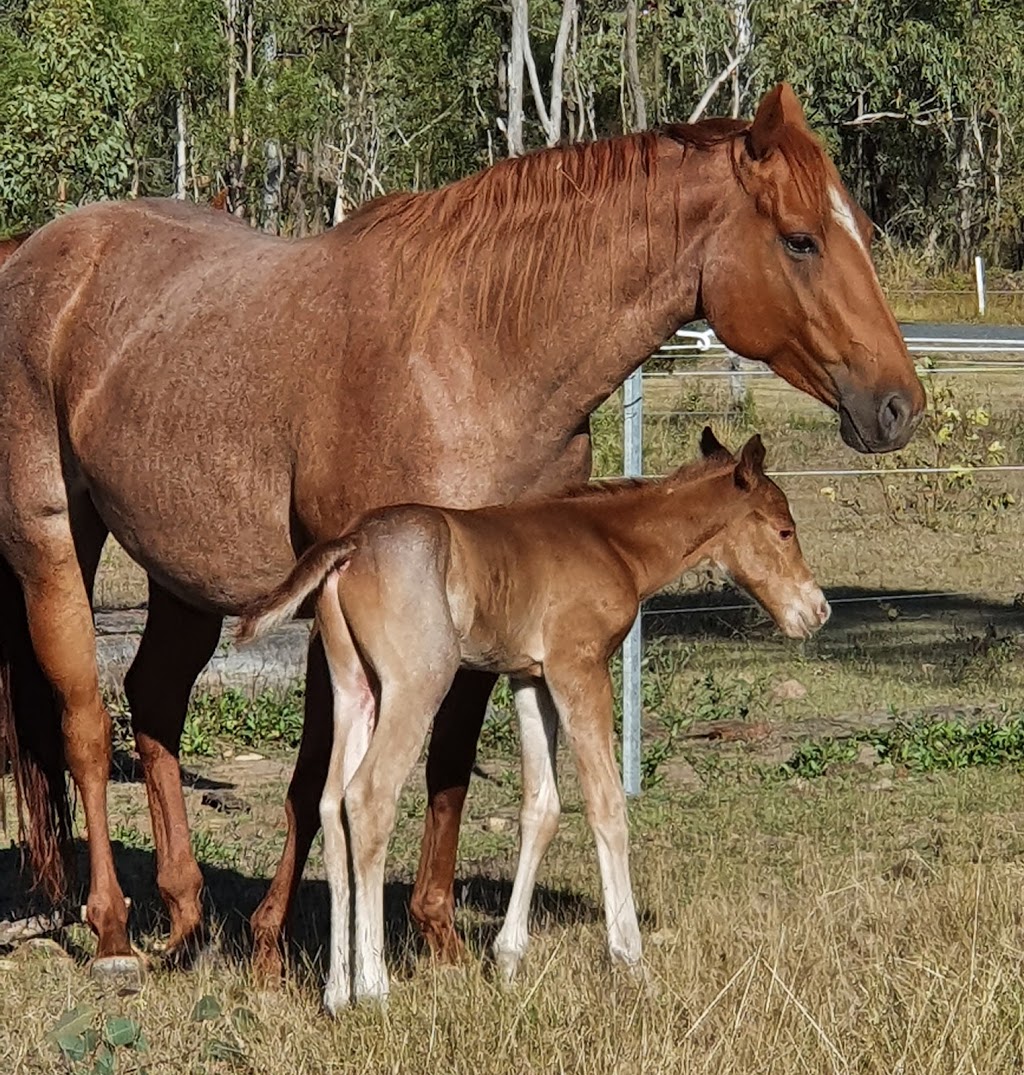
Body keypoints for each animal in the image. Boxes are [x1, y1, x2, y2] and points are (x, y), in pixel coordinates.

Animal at [239, 425, 829, 1006]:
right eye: (784, 531)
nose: (817, 611)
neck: (612, 543)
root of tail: (353, 543)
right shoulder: (579, 668)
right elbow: (606, 805)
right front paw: (631, 961)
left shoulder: (530, 679)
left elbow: (541, 809)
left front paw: (508, 959)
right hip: (418, 683)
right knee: (368, 796)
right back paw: (374, 988)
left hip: (356, 685)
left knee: (331, 801)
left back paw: (337, 993)